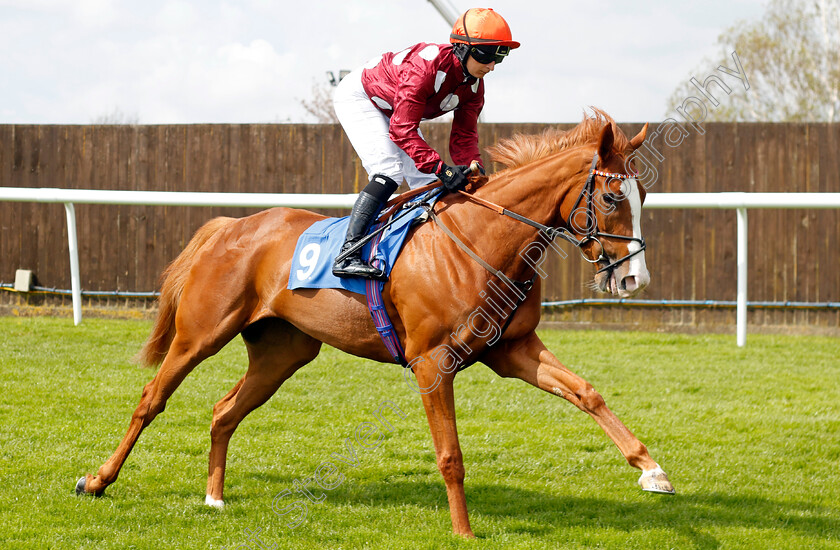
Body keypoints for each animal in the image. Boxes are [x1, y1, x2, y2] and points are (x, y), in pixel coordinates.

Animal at [75, 111, 672, 540]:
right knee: (151, 399)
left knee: (225, 411)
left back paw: (214, 496)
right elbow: (451, 454)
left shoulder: (513, 349)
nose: (634, 278)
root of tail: (231, 224)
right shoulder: (433, 362)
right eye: (612, 196)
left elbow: (587, 393)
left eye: (643, 196)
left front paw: (651, 469)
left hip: (283, 353)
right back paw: (97, 479)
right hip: (199, 334)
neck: (480, 241)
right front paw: (463, 531)